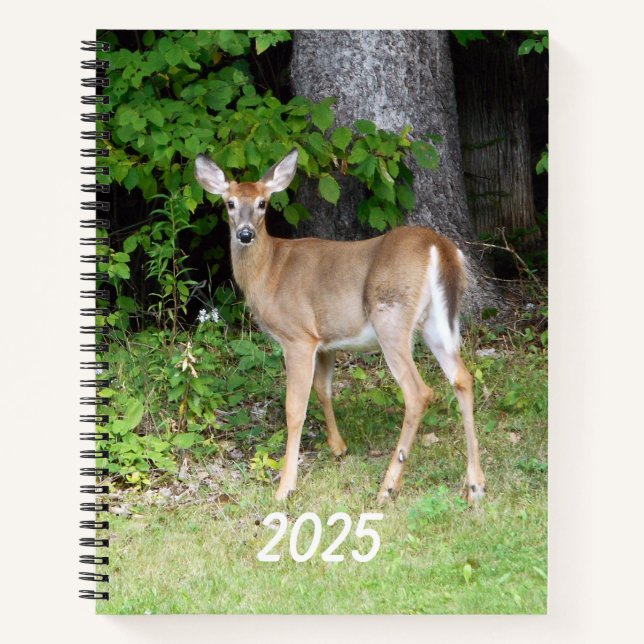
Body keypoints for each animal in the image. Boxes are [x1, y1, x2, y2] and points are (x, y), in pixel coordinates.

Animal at [195, 147, 486, 505]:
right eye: (230, 203)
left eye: (263, 203)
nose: (245, 234)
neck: (270, 272)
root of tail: (439, 246)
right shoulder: (325, 341)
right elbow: (324, 389)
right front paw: (338, 447)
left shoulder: (298, 337)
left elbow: (295, 408)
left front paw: (285, 486)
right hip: (434, 321)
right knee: (463, 378)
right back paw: (476, 484)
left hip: (390, 316)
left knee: (419, 392)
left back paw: (388, 485)